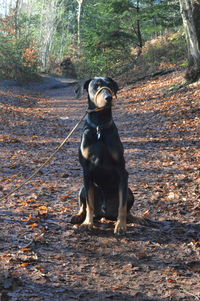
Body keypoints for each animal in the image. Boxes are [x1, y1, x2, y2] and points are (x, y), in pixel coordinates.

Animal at [70, 76, 136, 233]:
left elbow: (122, 205)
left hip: (130, 192)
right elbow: (89, 204)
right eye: (96, 85)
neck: (99, 126)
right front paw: (87, 223)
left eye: (110, 85)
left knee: (126, 207)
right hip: (82, 188)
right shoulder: (87, 171)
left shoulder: (121, 170)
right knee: (83, 205)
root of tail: (104, 214)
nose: (109, 98)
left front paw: (121, 225)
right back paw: (78, 216)